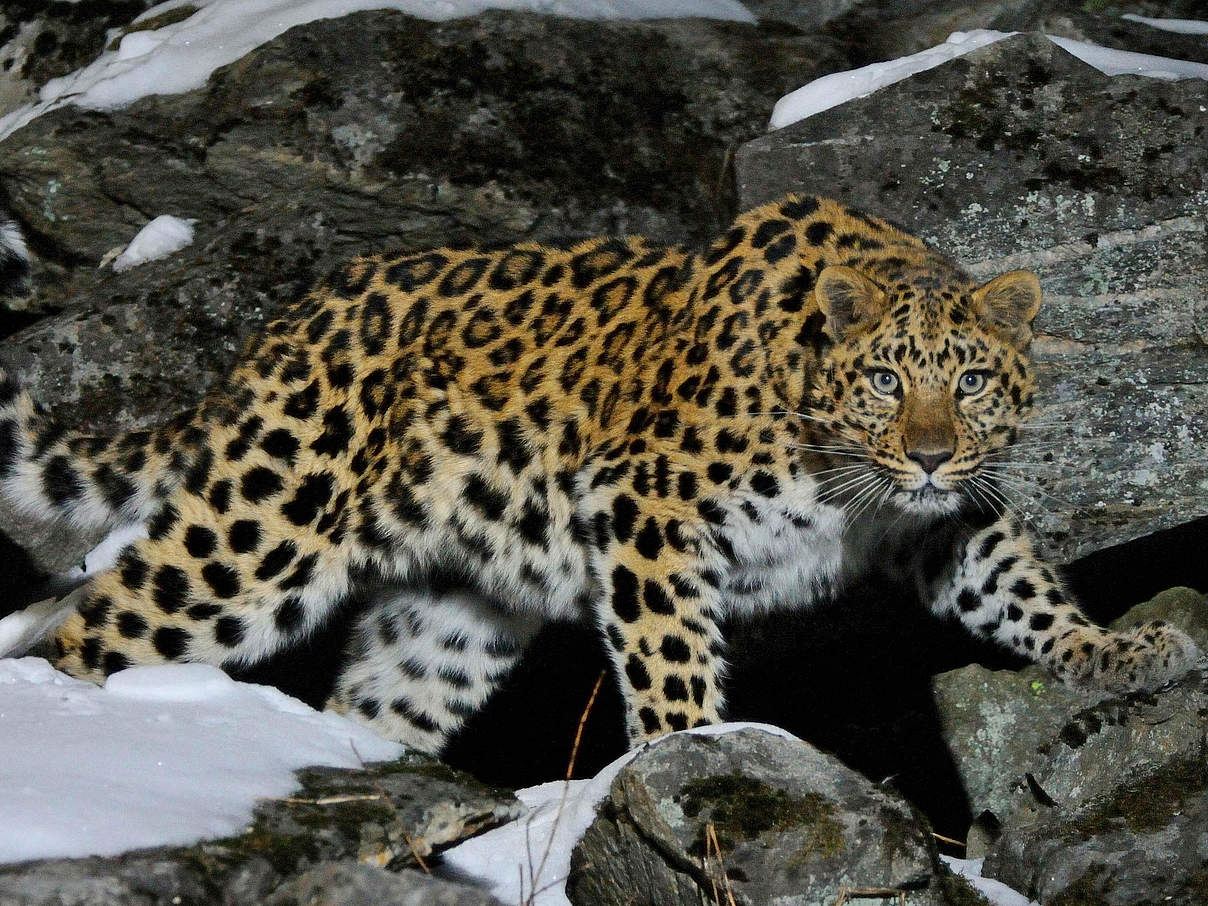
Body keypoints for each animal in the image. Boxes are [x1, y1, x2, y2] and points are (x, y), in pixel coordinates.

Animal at [0, 196, 1198, 753]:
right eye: (886, 379)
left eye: (971, 381)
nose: (931, 451)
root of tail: (275, 332)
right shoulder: (644, 507)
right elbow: (670, 659)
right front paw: (695, 756)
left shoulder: (947, 524)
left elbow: (1020, 588)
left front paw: (1115, 649)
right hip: (256, 535)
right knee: (92, 625)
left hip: (452, 614)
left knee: (378, 697)